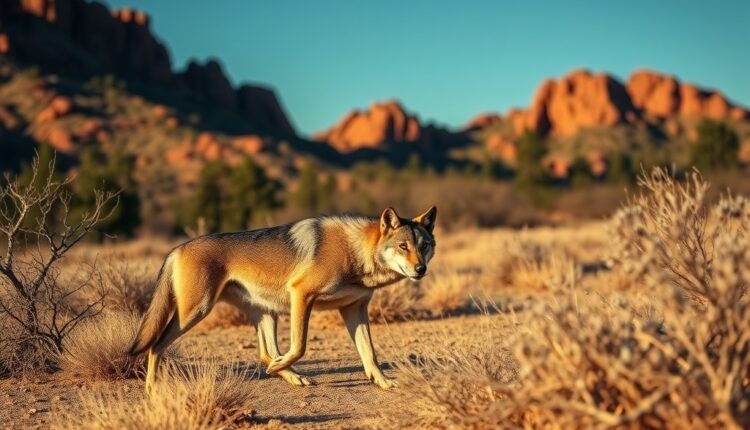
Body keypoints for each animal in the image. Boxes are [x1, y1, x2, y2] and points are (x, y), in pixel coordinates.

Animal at [128, 206, 437, 391]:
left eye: (424, 246)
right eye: (403, 246)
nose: (420, 269)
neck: (356, 251)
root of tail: (177, 248)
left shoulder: (355, 309)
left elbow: (370, 354)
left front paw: (384, 383)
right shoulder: (302, 294)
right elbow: (300, 346)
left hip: (266, 313)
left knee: (266, 354)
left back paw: (292, 375)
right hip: (196, 312)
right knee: (155, 345)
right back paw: (152, 390)